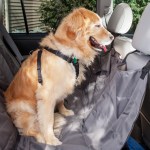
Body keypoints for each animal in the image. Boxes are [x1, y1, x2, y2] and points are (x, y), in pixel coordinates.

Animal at [3, 7, 113, 145]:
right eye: (97, 25)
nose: (112, 37)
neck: (68, 53)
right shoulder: (46, 97)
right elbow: (48, 121)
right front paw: (51, 139)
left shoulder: (61, 86)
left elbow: (61, 101)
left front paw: (65, 111)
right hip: (24, 107)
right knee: (27, 129)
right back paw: (40, 136)